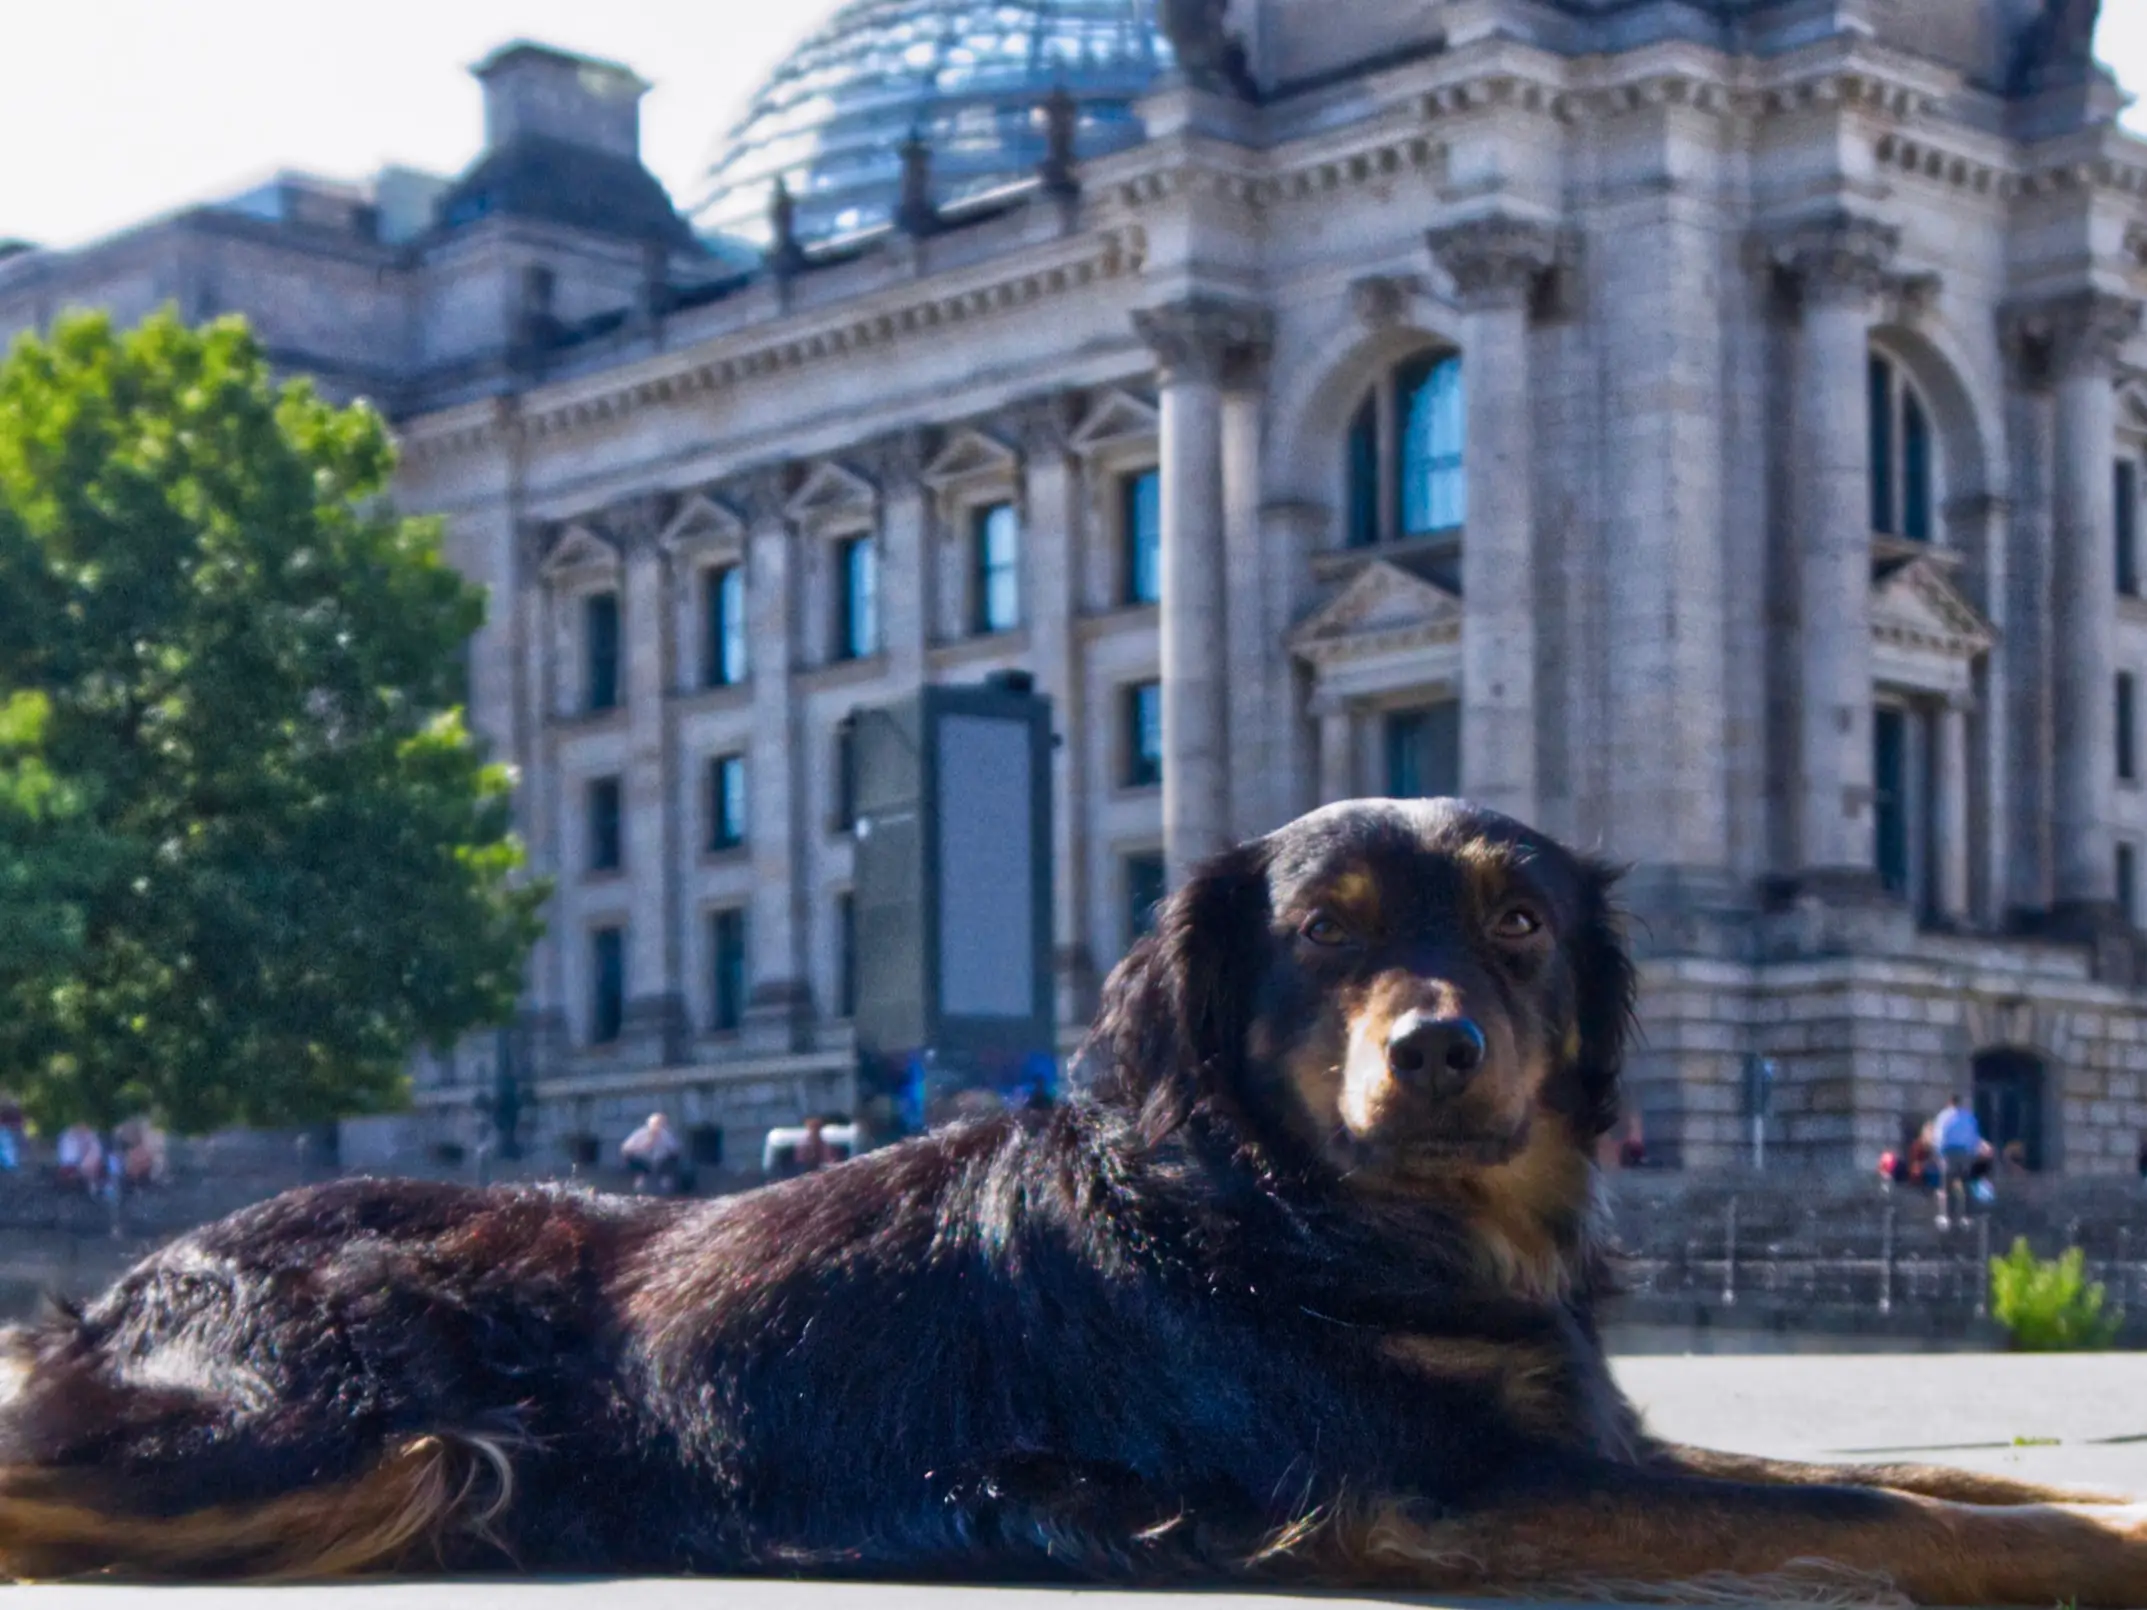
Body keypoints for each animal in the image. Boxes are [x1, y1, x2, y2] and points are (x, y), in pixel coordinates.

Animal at [0, 802, 2138, 1605]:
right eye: (1324, 934)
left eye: (1521, 924)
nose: (1440, 1048)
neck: (1300, 1223)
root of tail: (139, 1274)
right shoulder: (1448, 1495)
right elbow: (1879, 1508)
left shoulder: (1582, 1438)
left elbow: (1938, 1478)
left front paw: (2092, 1506)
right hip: (348, 1418)